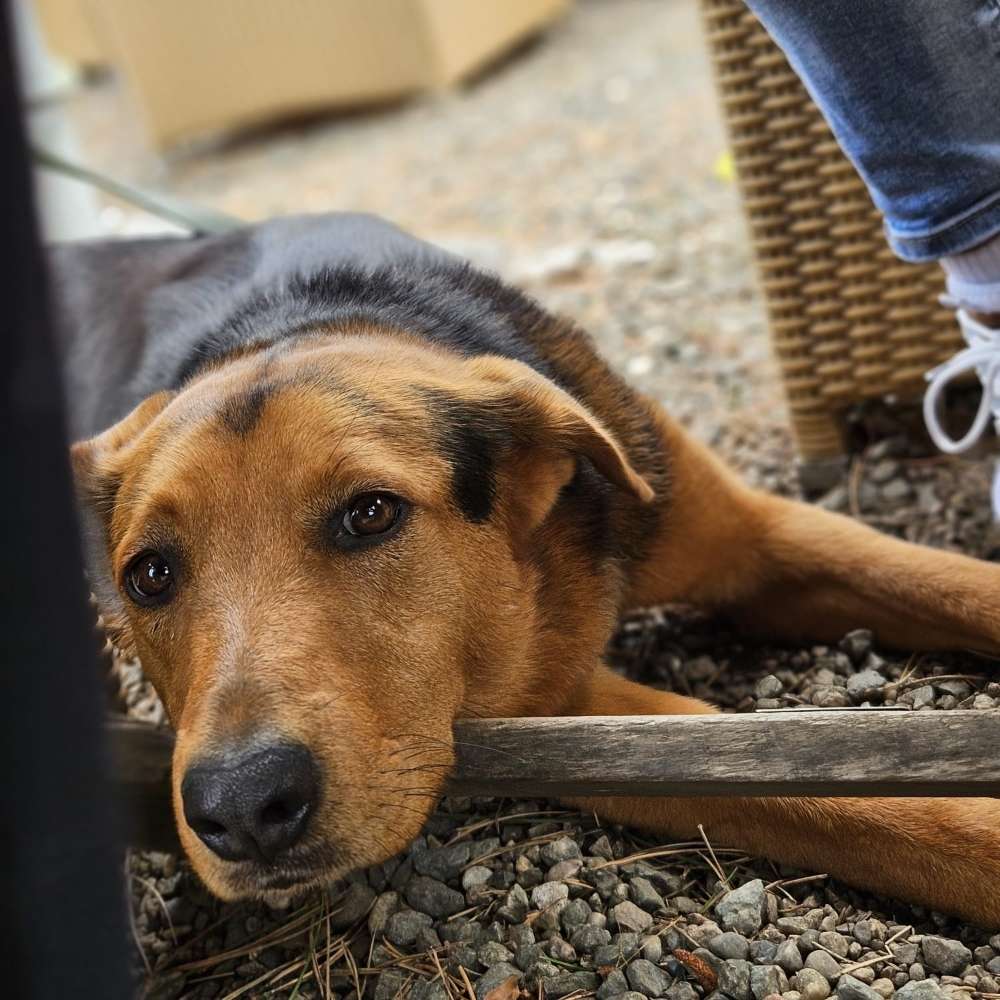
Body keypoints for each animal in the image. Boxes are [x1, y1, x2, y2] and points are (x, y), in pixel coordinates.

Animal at [52, 213, 1000, 928]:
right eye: (150, 575)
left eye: (371, 513)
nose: (243, 807)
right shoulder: (568, 706)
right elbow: (864, 799)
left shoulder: (758, 534)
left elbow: (954, 582)